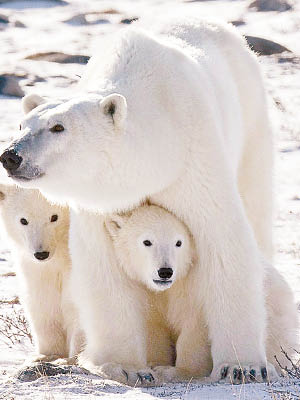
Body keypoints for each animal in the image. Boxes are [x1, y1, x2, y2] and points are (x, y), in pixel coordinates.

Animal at [0, 19, 276, 384]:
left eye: (58, 127)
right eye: (21, 124)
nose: (10, 156)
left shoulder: (194, 160)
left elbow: (223, 240)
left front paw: (241, 367)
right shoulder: (101, 202)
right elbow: (102, 263)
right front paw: (126, 367)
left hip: (251, 121)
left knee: (255, 204)